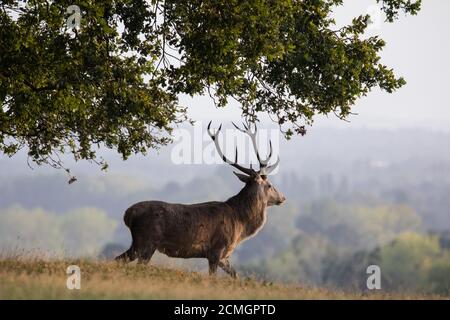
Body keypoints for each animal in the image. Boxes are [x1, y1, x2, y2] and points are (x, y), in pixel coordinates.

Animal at [115, 120, 284, 278]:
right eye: (270, 185)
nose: (283, 197)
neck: (240, 224)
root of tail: (128, 215)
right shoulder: (216, 249)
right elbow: (213, 277)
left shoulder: (224, 257)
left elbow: (236, 275)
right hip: (147, 241)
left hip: (138, 243)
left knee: (118, 259)